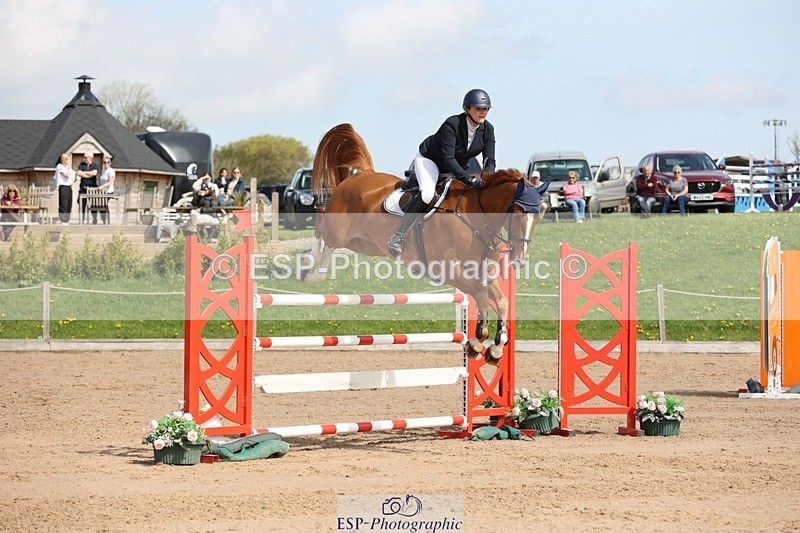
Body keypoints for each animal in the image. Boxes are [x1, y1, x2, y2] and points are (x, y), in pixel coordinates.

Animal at [305, 123, 549, 365]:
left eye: (538, 215)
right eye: (518, 214)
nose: (520, 260)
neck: (476, 217)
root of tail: (362, 174)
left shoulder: (482, 273)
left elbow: (501, 301)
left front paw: (496, 347)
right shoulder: (449, 270)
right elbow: (480, 295)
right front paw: (477, 341)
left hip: (364, 244)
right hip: (338, 230)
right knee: (321, 221)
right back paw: (311, 271)